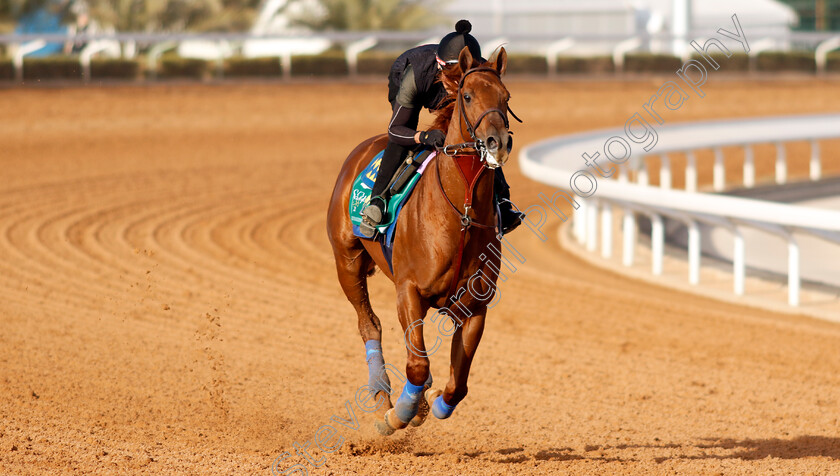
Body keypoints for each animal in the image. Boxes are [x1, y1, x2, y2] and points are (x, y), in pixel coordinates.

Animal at [326, 45, 512, 436]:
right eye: (468, 96)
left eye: (506, 98)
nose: (498, 143)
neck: (460, 213)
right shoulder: (408, 291)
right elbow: (416, 365)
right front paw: (399, 413)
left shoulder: (475, 306)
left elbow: (458, 384)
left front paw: (435, 402)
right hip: (346, 260)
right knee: (369, 324)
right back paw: (382, 394)